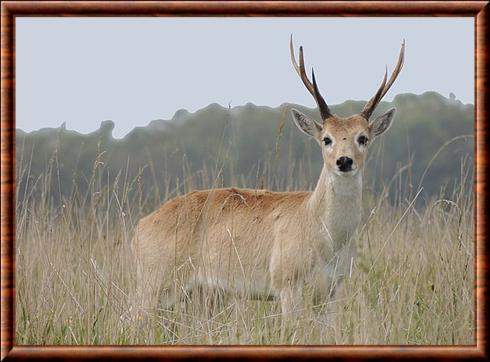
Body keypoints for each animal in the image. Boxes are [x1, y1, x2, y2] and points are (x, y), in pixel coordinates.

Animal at [128, 36, 404, 328]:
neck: (324, 234)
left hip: (199, 293)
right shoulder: (287, 283)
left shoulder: (331, 289)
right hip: (154, 282)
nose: (344, 161)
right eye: (326, 138)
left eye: (363, 137)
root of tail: (140, 228)